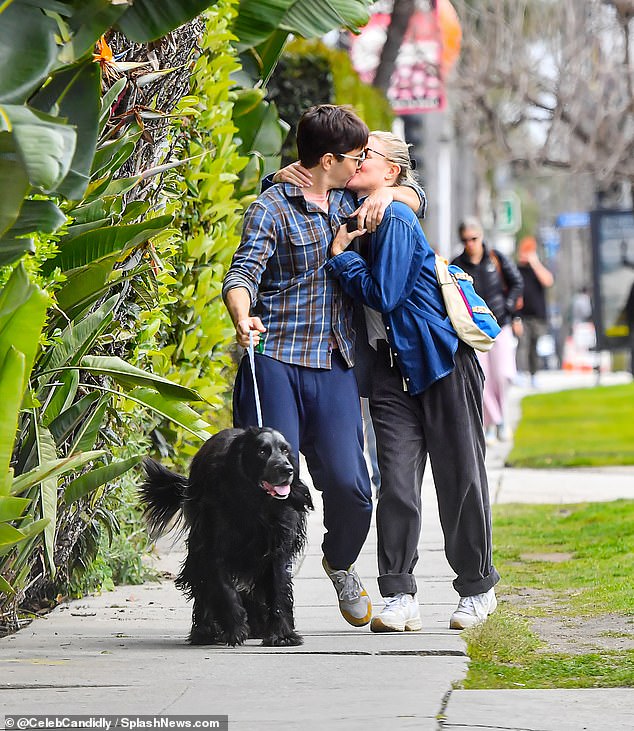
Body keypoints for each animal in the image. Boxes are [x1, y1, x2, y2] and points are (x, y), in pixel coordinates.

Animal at [141, 426, 314, 648]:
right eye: (262, 451)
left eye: (285, 450)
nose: (287, 470)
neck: (254, 502)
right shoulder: (212, 549)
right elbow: (224, 590)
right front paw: (235, 629)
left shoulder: (276, 551)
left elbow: (278, 590)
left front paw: (282, 634)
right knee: (203, 591)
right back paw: (205, 632)